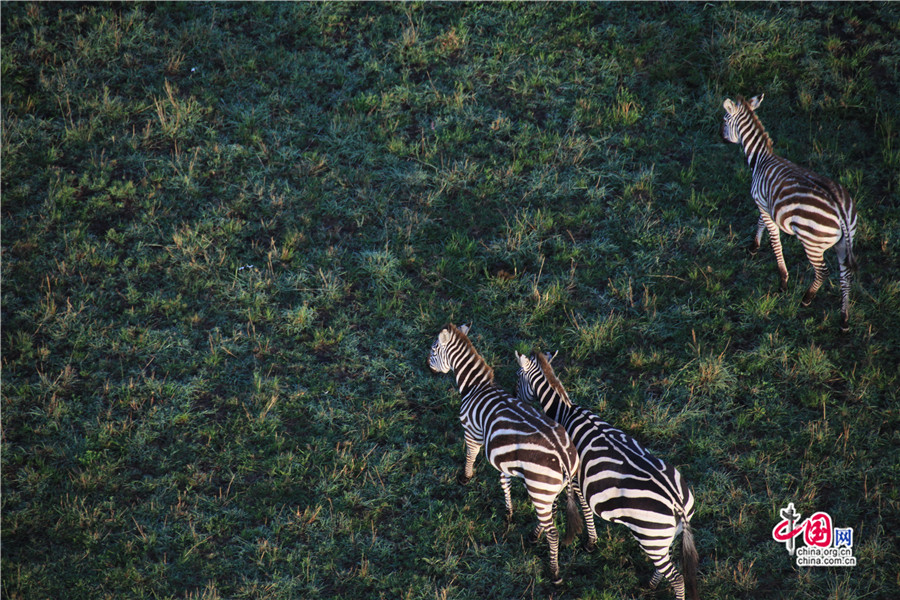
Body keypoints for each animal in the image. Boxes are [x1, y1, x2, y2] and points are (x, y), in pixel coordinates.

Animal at [428, 326, 588, 584]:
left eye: (433, 350)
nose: (427, 366)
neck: (476, 386)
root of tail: (565, 458)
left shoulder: (472, 432)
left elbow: (470, 455)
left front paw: (465, 477)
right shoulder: (503, 457)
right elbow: (505, 482)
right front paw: (509, 512)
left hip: (539, 488)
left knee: (553, 532)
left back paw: (553, 572)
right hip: (551, 489)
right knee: (551, 513)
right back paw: (534, 536)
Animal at [516, 352, 700, 600]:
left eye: (517, 377)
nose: (517, 398)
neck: (565, 410)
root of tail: (677, 503)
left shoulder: (575, 478)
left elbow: (576, 508)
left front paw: (589, 542)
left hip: (650, 536)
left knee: (677, 579)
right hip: (664, 537)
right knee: (665, 567)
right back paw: (650, 585)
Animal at [720, 92, 860, 332]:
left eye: (724, 119)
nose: (721, 137)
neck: (761, 158)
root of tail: (840, 210)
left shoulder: (762, 203)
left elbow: (775, 240)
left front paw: (783, 281)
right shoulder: (766, 204)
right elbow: (760, 223)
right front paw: (754, 247)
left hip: (812, 241)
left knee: (822, 271)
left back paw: (806, 299)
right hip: (844, 242)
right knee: (845, 275)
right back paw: (843, 320)